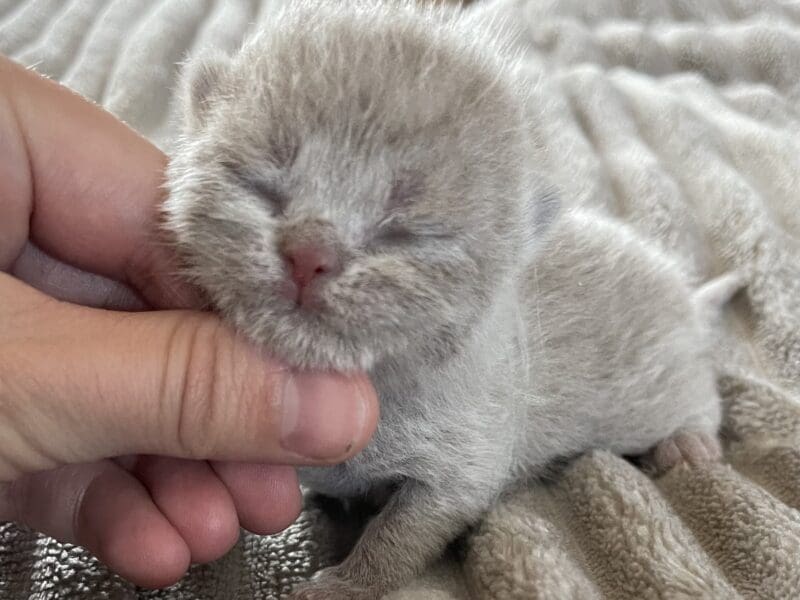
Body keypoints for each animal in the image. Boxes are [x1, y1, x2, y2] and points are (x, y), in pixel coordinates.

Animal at [162, 2, 744, 596]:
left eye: (408, 232)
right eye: (259, 186)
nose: (309, 254)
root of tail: (686, 296)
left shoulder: (464, 463)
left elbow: (399, 536)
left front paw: (346, 584)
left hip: (660, 384)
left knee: (701, 392)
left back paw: (687, 442)